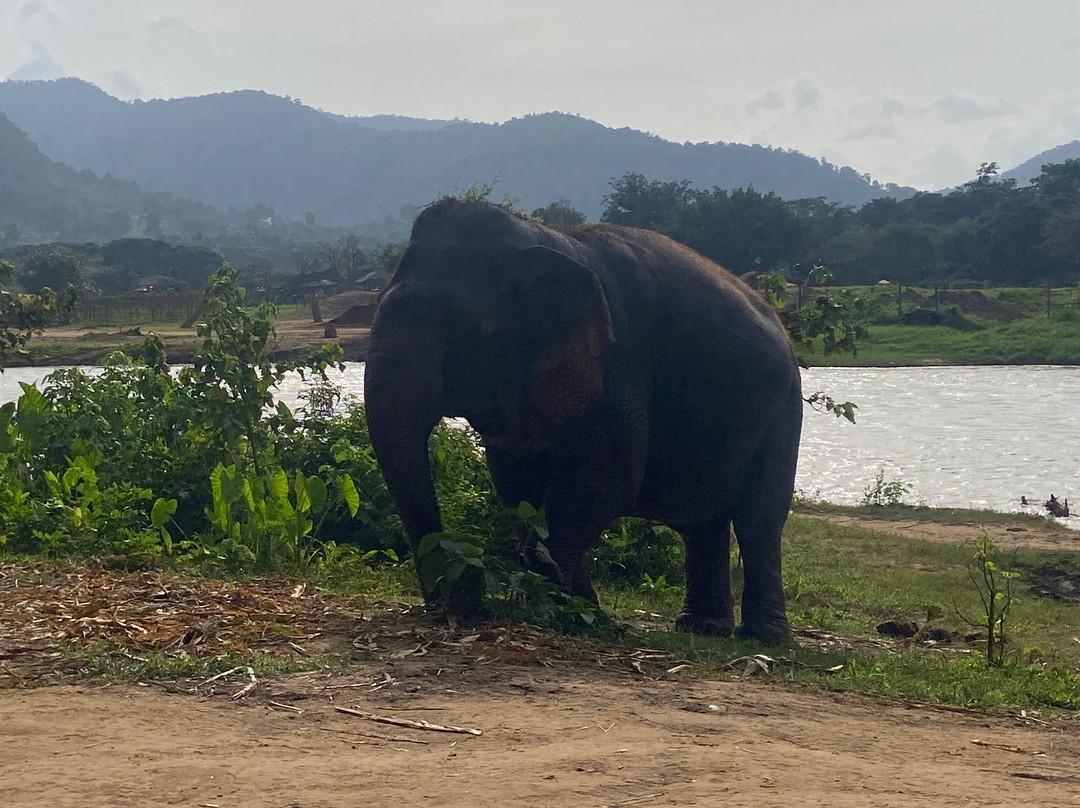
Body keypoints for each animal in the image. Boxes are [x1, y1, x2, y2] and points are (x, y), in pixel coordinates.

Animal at [364, 198, 803, 643]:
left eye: (451, 321)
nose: (464, 603)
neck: (536, 236)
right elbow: (517, 485)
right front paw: (581, 607)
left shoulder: (615, 367)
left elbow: (608, 480)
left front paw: (557, 609)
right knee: (702, 521)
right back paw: (703, 628)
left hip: (785, 410)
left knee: (759, 518)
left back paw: (763, 637)